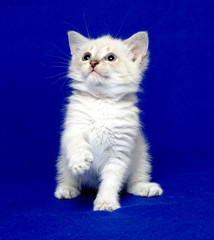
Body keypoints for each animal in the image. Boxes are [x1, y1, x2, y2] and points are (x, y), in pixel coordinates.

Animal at [54, 31, 163, 211]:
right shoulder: (72, 127)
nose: (93, 62)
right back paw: (66, 189)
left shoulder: (119, 152)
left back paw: (145, 187)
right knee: (69, 178)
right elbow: (75, 140)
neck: (101, 101)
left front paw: (105, 202)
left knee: (132, 183)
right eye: (86, 56)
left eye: (111, 58)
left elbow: (111, 181)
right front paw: (81, 160)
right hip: (62, 161)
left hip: (142, 157)